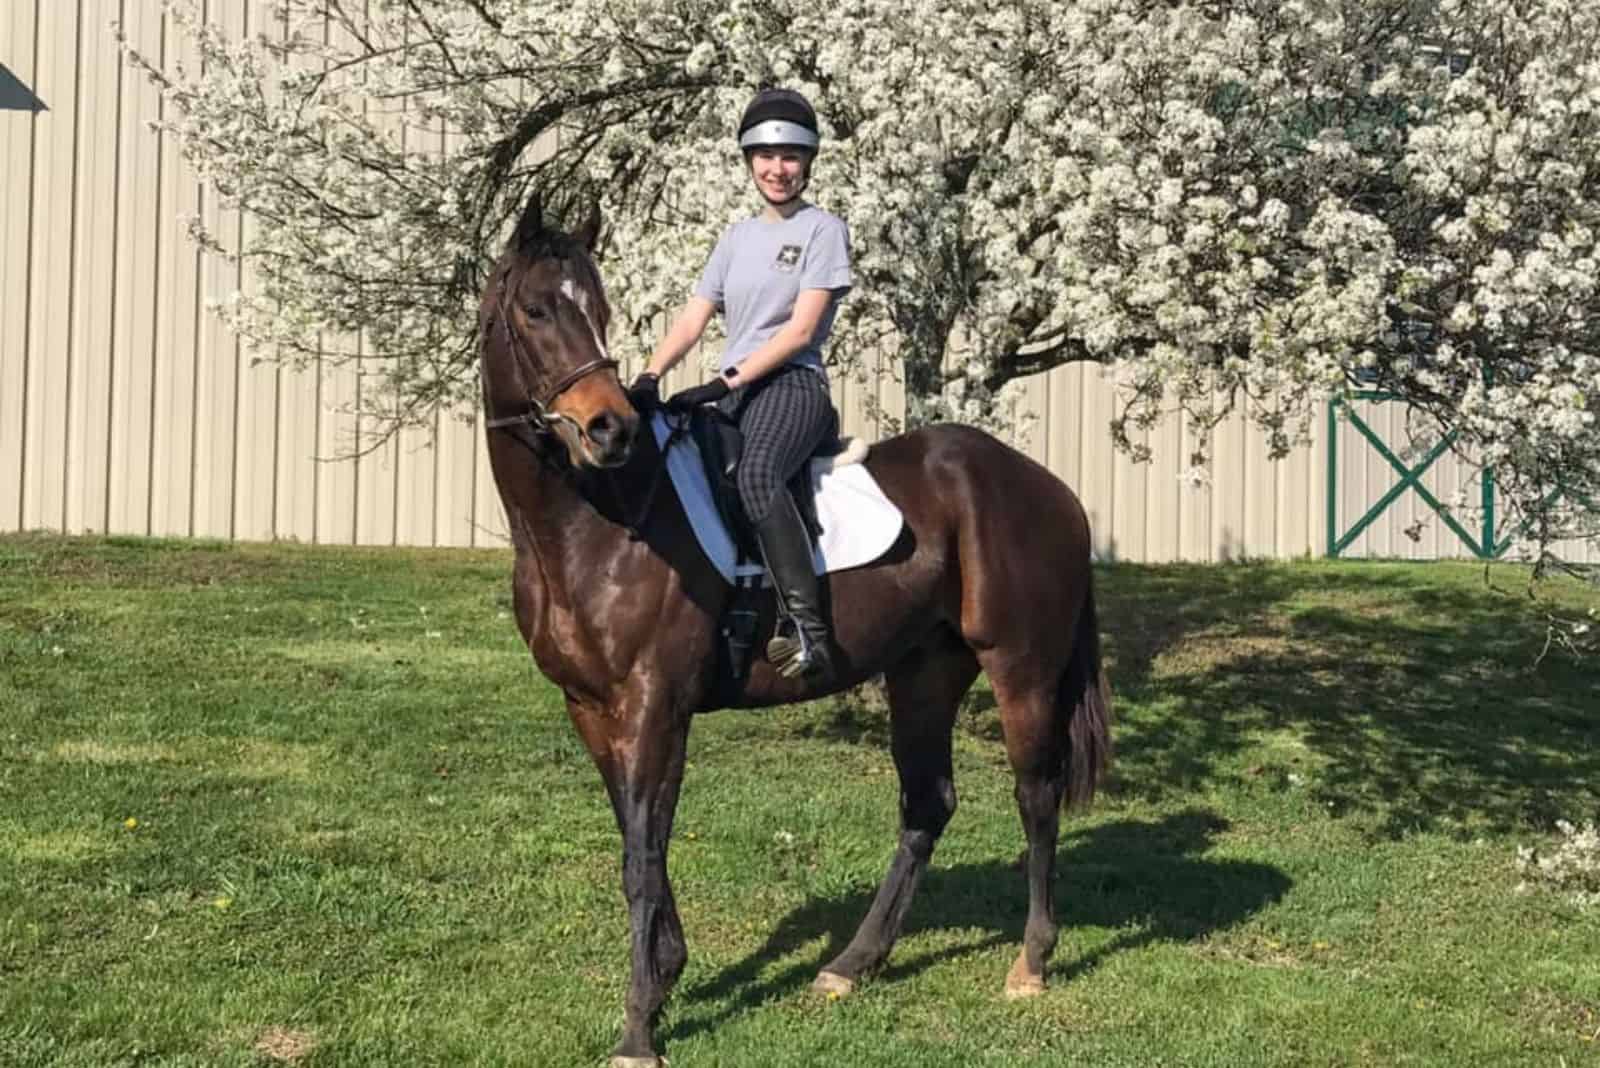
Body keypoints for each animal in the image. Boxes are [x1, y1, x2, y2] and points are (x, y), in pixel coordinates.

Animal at [476, 194, 1113, 1068]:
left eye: (596, 311)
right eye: (536, 310)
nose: (609, 429)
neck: (598, 521)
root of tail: (1050, 487)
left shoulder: (653, 706)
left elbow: (643, 855)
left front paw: (640, 1024)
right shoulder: (592, 710)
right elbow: (637, 843)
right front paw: (667, 976)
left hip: (1022, 668)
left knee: (1035, 794)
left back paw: (1030, 963)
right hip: (925, 670)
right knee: (928, 804)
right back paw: (853, 963)